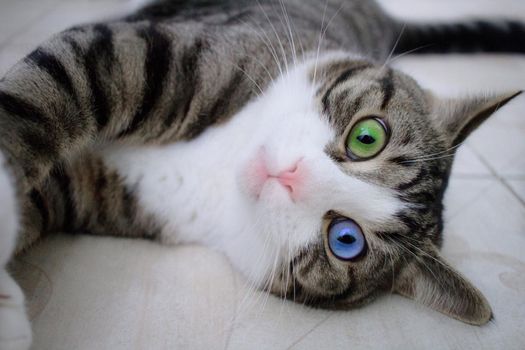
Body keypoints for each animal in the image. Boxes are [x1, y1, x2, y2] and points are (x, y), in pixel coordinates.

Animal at [1, 0, 524, 348]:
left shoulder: (110, 188)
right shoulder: (163, 56)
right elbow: (49, 88)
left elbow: (46, 192)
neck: (223, 164)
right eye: (367, 137)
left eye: (346, 240)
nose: (290, 175)